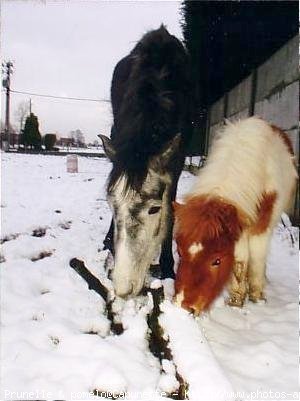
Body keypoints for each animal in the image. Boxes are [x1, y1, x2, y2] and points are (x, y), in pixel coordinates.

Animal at [173, 115, 298, 312]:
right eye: (179, 251)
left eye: (217, 261)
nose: (183, 306)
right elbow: (240, 261)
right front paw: (236, 300)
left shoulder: (260, 228)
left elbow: (255, 258)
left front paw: (256, 296)